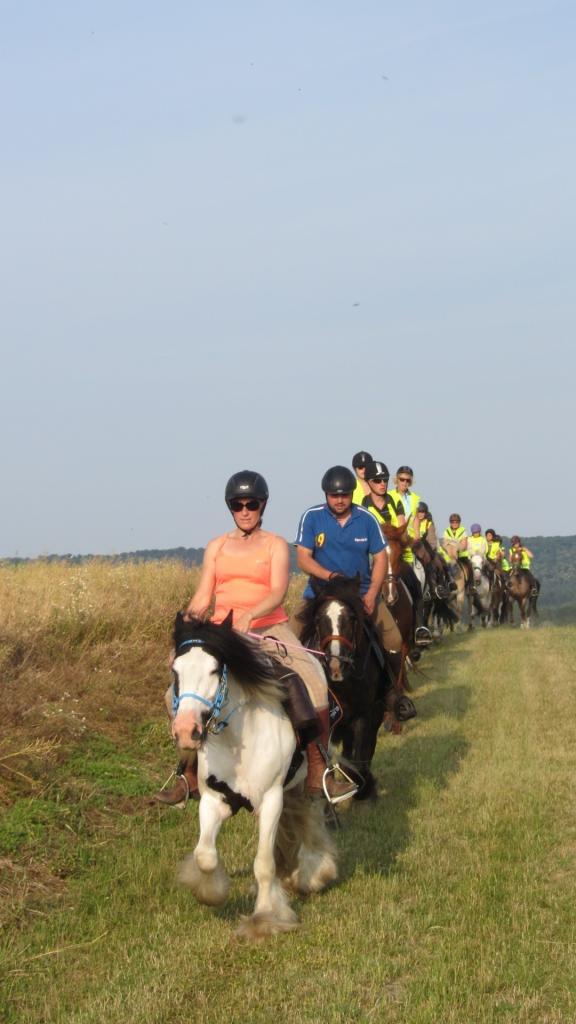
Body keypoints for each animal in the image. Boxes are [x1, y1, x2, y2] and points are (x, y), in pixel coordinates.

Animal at [168, 610, 336, 937]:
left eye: (214, 670)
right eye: (175, 670)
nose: (186, 731)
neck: (237, 740)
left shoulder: (270, 800)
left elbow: (263, 863)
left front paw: (267, 917)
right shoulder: (214, 800)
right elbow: (205, 856)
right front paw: (212, 892)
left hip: (304, 785)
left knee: (310, 816)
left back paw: (313, 874)